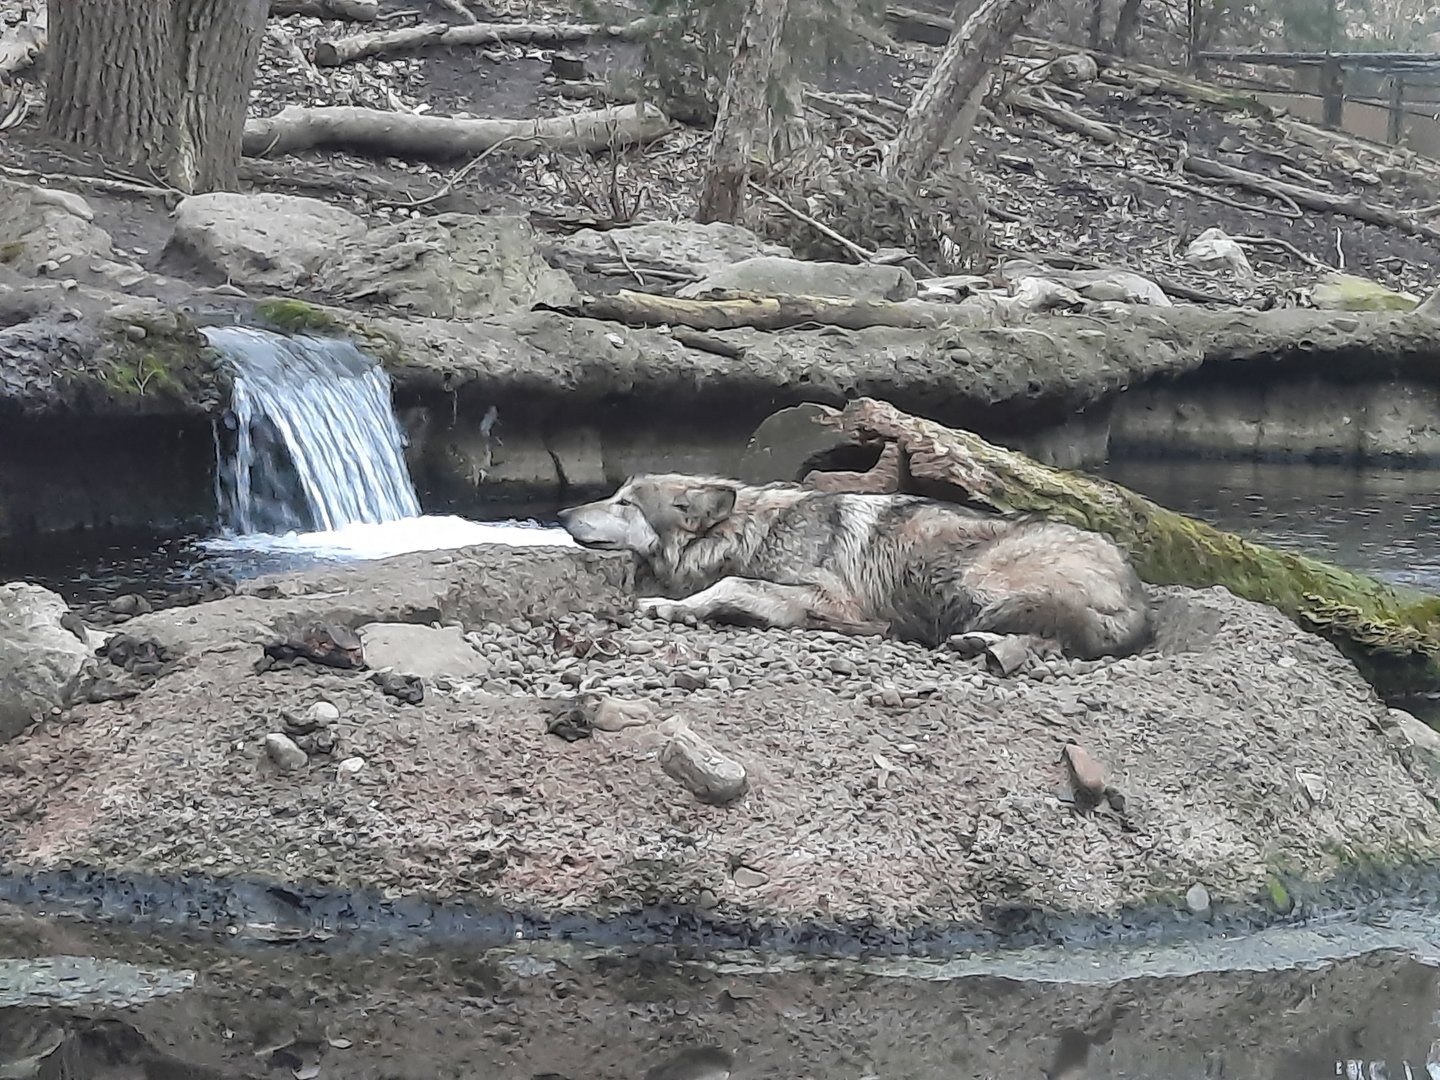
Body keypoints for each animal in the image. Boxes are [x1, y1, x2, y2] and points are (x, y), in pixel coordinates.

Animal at [557, 473, 1153, 660]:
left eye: (624, 503)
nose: (560, 514)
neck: (751, 532)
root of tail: (1137, 593)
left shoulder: (831, 596)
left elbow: (728, 585)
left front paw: (667, 607)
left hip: (980, 579)